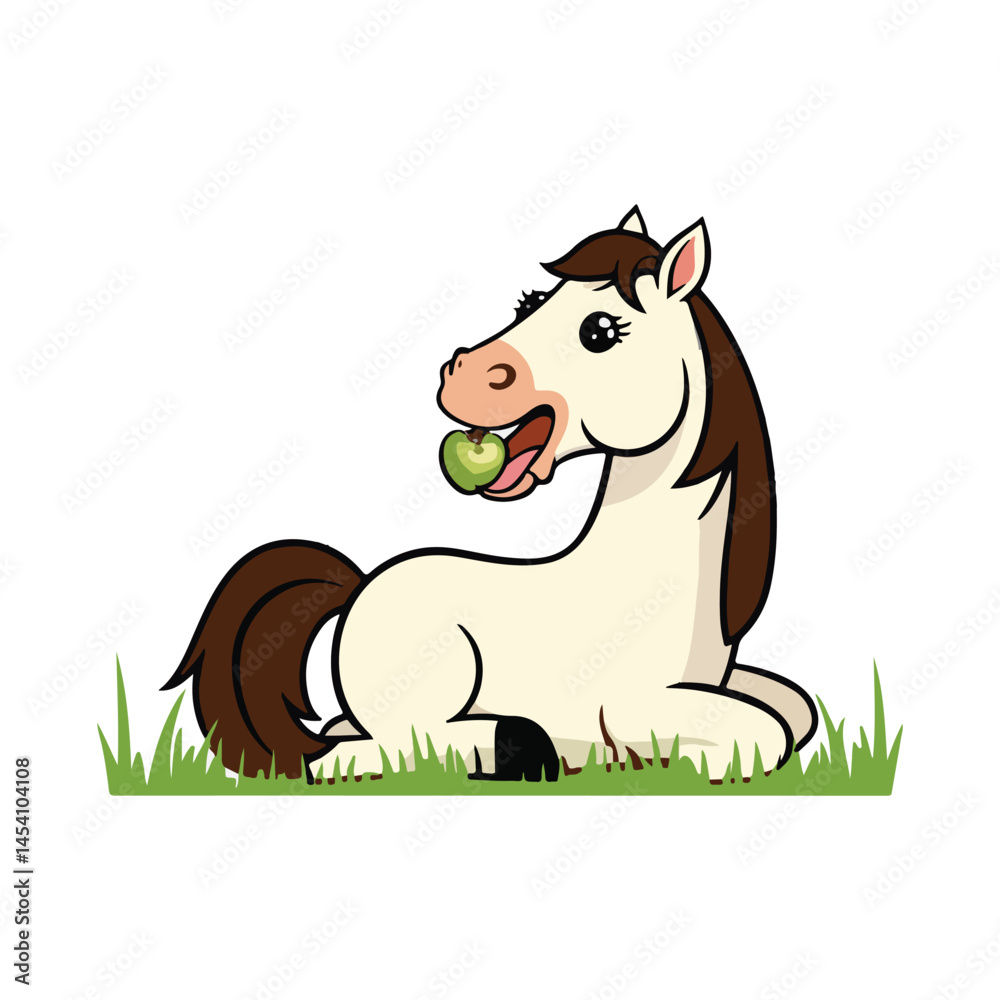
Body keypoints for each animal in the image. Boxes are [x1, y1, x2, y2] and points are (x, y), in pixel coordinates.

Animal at [164, 207, 817, 783]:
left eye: (600, 331)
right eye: (530, 302)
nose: (461, 372)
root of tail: (361, 588)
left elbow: (795, 709)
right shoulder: (633, 704)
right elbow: (763, 734)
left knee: (343, 733)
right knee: (357, 752)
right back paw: (521, 746)